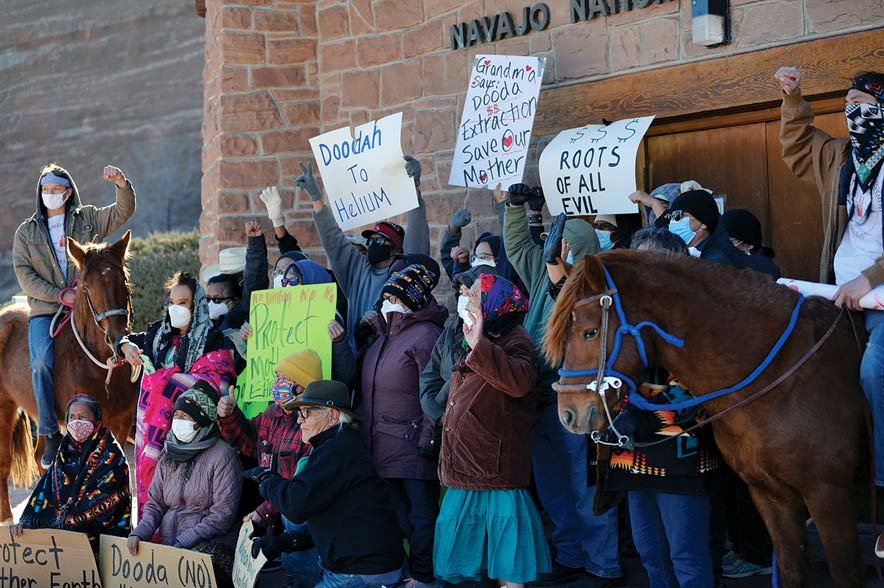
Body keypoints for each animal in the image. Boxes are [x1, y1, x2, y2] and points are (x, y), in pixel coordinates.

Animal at [0, 232, 138, 520]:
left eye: (122, 279)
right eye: (85, 287)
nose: (116, 336)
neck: (98, 366)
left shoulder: (120, 423)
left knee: (41, 457)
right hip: (4, 407)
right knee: (4, 464)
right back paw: (7, 519)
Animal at [544, 250, 868, 588]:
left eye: (590, 332)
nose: (568, 413)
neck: (781, 375)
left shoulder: (829, 495)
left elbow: (846, 574)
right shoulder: (770, 494)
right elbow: (792, 570)